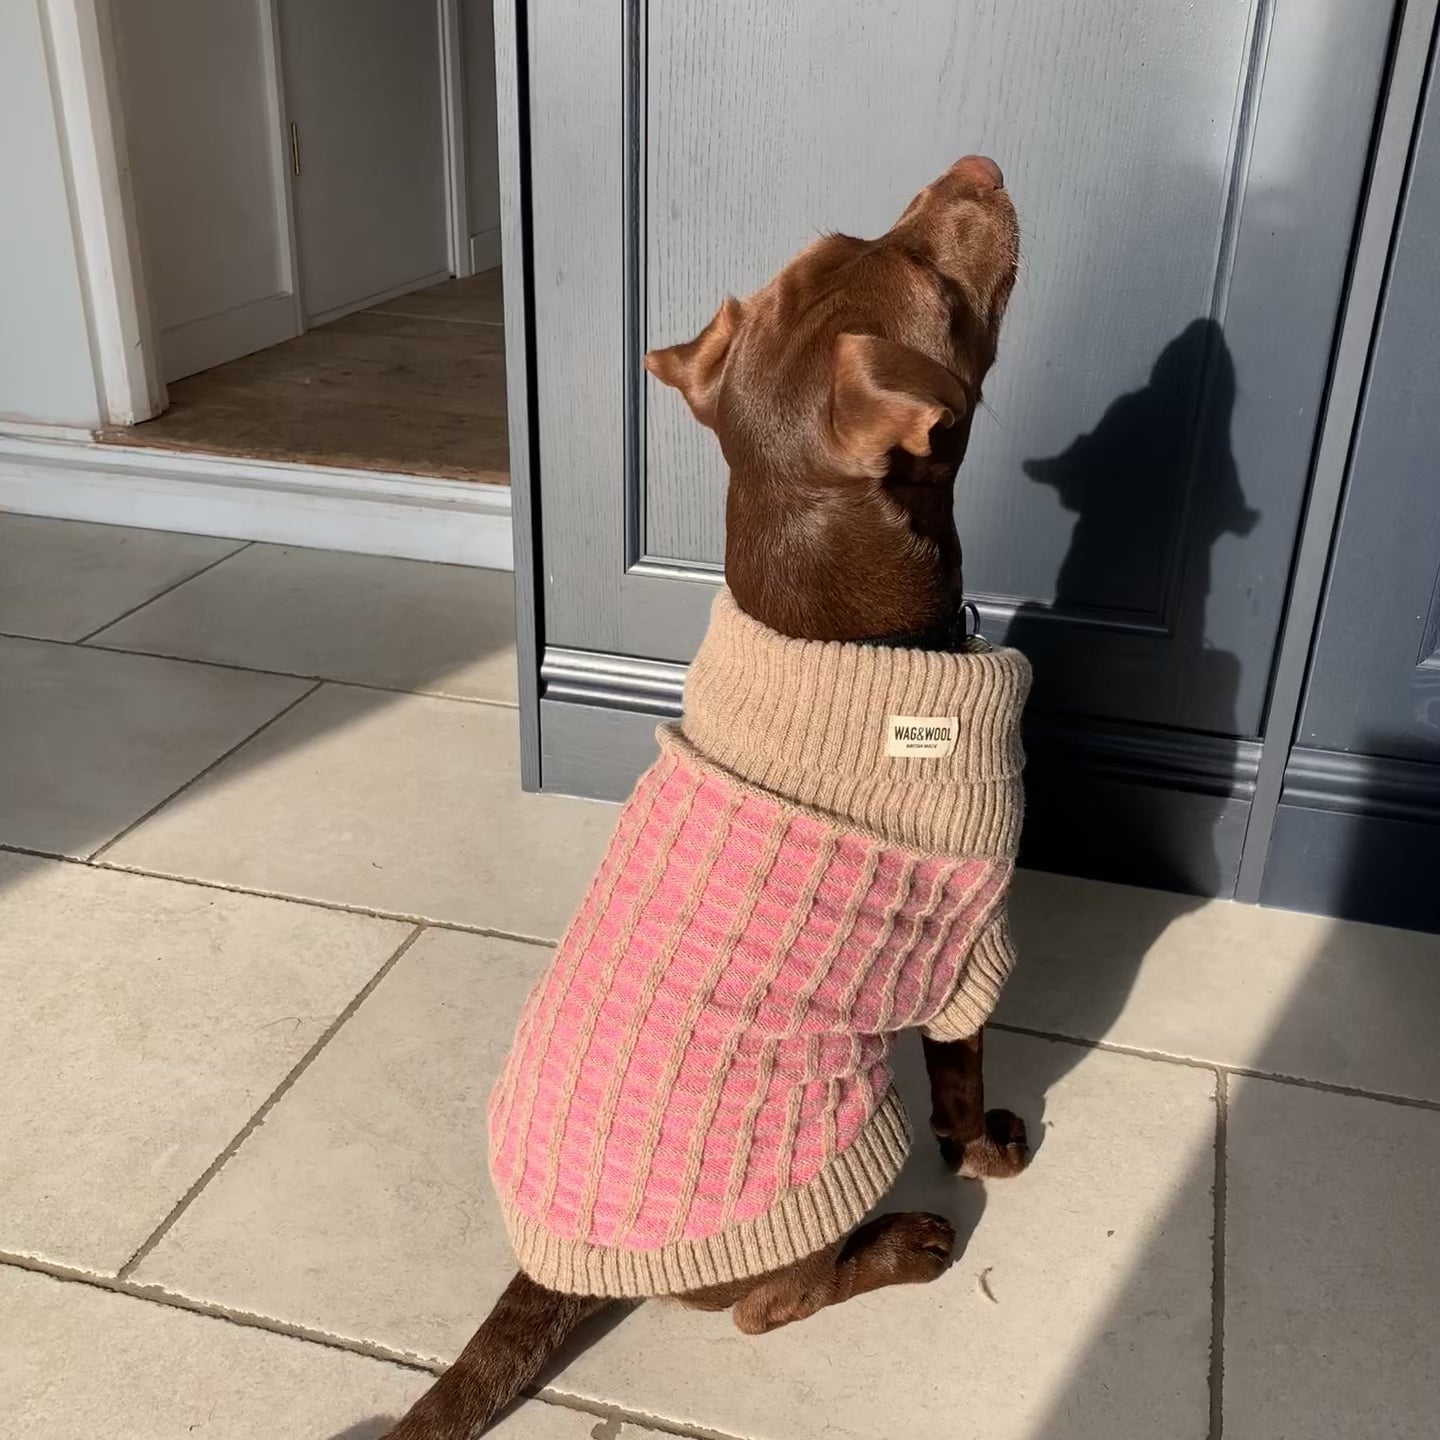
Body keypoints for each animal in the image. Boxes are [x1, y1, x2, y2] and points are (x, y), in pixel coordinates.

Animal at [384, 152, 1025, 1440]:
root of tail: (557, 1269)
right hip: (842, 1137)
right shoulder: (969, 949)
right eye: (938, 284)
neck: (827, 629)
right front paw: (991, 1155)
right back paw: (907, 1244)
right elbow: (965, 1086)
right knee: (769, 1309)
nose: (977, 165)